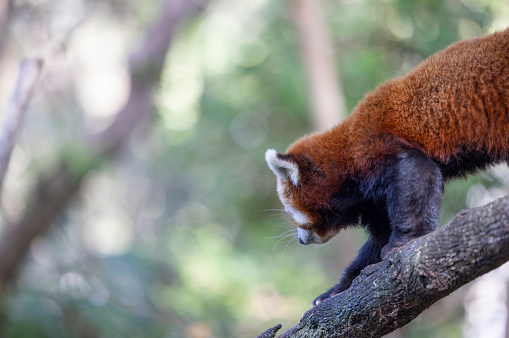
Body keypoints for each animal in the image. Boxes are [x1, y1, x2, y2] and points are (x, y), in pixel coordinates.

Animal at [264, 29, 508, 308]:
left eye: (293, 213)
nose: (301, 241)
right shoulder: (373, 200)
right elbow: (377, 237)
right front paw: (338, 288)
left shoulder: (379, 149)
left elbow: (416, 172)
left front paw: (403, 243)